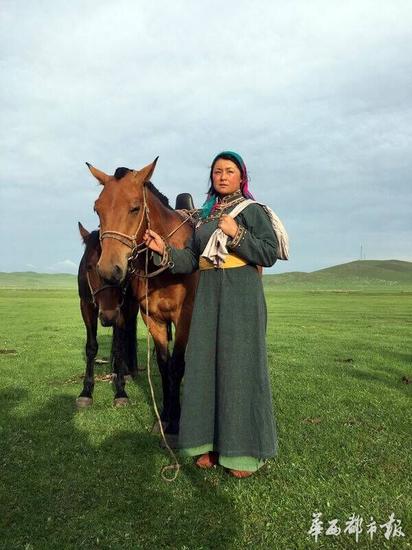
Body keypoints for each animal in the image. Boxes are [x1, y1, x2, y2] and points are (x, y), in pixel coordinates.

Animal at [75, 222, 138, 408]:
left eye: (121, 269)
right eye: (89, 267)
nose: (108, 317)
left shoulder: (121, 310)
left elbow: (119, 347)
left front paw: (120, 391)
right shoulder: (86, 305)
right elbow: (91, 347)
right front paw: (86, 391)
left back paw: (126, 371)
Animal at [85, 161, 198, 440]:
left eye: (135, 208)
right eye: (97, 209)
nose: (109, 269)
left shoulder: (184, 317)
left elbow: (177, 365)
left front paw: (176, 424)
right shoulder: (152, 318)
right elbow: (165, 365)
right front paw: (165, 418)